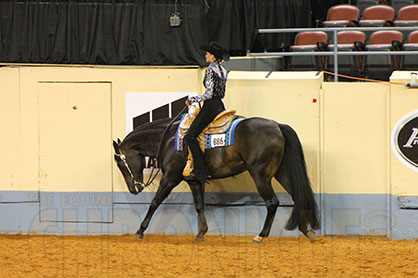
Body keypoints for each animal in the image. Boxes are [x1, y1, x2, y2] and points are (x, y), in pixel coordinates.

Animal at [112, 114, 318, 241]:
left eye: (121, 164)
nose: (134, 189)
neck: (170, 139)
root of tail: (277, 126)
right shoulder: (194, 181)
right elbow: (199, 205)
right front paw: (201, 233)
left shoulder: (170, 178)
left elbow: (155, 203)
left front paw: (140, 231)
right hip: (281, 172)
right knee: (298, 196)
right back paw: (306, 231)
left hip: (261, 175)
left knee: (272, 202)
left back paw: (261, 235)